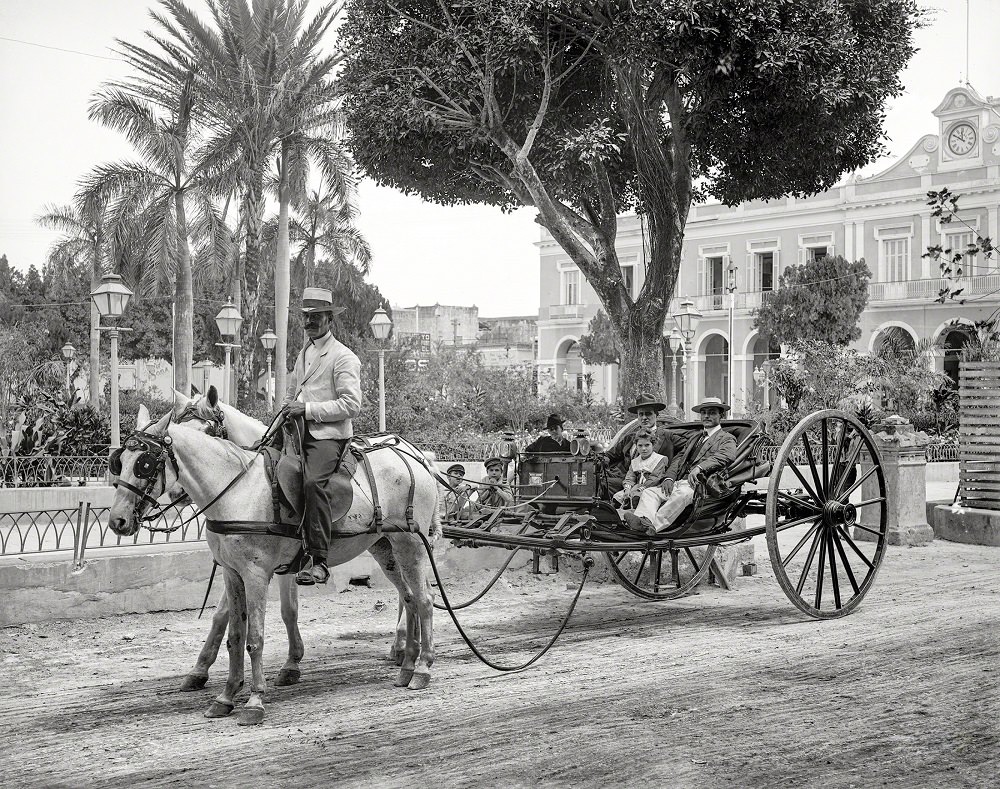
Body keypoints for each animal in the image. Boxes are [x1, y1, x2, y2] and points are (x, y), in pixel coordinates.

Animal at [108, 410, 438, 724]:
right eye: (118, 461)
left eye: (144, 464)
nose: (117, 520)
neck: (237, 491)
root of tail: (417, 458)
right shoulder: (232, 573)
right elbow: (234, 635)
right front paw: (226, 696)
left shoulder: (256, 575)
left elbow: (255, 638)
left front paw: (255, 701)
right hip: (385, 547)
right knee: (409, 598)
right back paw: (407, 664)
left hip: (410, 544)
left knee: (425, 600)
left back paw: (422, 667)